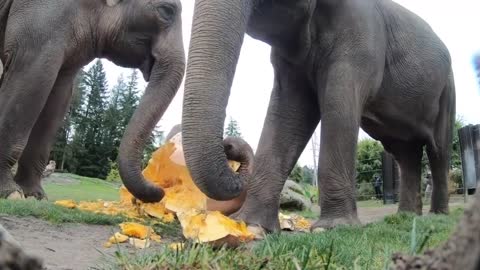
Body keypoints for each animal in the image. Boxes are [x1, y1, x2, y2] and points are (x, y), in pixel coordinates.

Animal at [0, 0, 186, 199]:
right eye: (166, 10)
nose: (161, 190)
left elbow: (58, 96)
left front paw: (35, 196)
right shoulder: (41, 21)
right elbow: (33, 76)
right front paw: (11, 193)